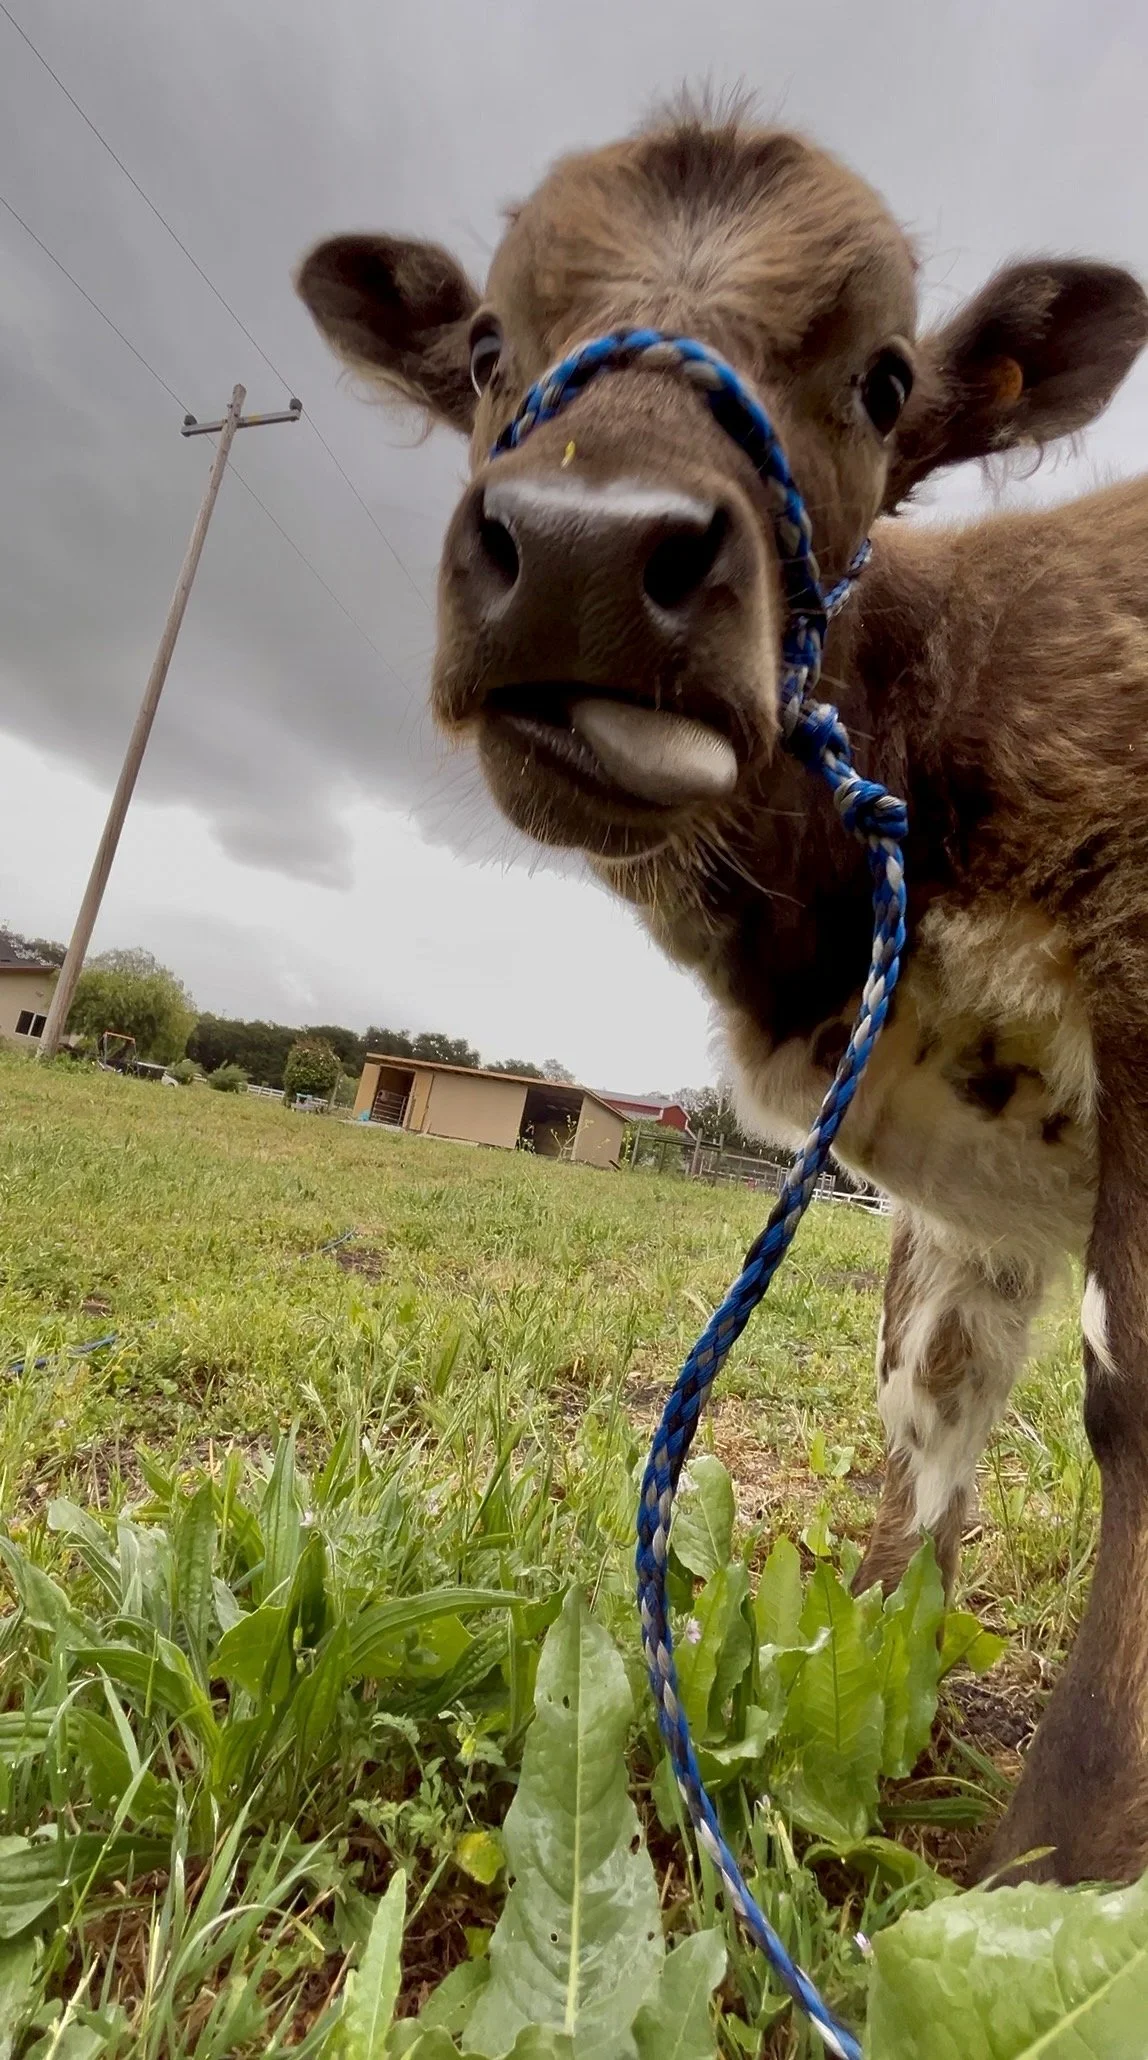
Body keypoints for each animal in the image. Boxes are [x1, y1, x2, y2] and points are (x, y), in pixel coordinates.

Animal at [297, 102, 1148, 1887]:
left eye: (888, 377)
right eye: (488, 345)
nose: (586, 551)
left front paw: (1067, 1870)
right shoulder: (965, 1176)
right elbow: (927, 1404)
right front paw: (885, 1691)